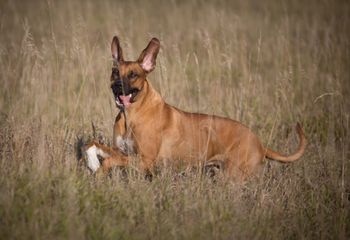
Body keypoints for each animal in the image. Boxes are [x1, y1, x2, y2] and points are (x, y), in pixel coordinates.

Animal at [84, 36, 306, 181]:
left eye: (133, 75)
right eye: (115, 72)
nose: (117, 86)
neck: (132, 114)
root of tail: (259, 143)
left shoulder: (145, 161)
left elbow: (110, 162)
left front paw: (99, 171)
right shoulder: (122, 151)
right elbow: (92, 144)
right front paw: (93, 162)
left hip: (232, 178)